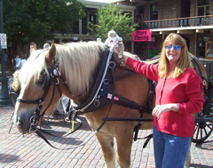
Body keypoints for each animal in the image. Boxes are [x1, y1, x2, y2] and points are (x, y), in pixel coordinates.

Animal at [12, 41, 208, 168]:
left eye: (41, 79)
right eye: (20, 77)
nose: (19, 121)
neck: (104, 84)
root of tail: (193, 58)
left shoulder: (124, 133)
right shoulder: (102, 133)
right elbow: (109, 159)